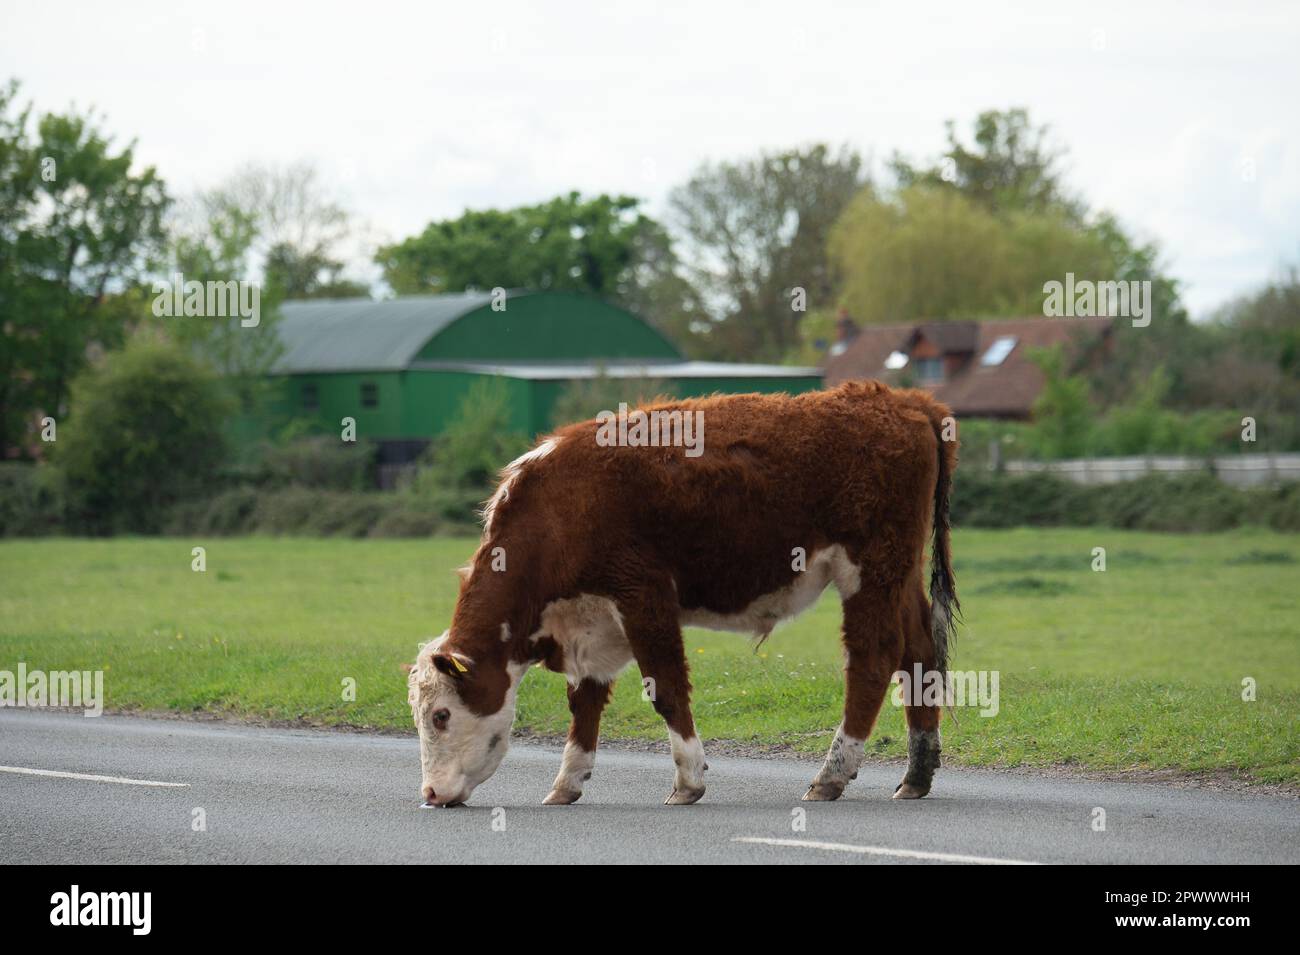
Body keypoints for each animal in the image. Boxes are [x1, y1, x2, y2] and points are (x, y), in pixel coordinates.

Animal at [403, 382, 956, 805]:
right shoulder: (588, 625)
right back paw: (917, 774)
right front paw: (567, 783)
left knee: (873, 659)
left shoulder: (643, 594)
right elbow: (584, 705)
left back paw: (831, 776)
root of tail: (903, 400)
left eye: (440, 715)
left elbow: (666, 689)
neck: (558, 508)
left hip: (870, 569)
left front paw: (688, 780)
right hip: (899, 574)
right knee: (919, 652)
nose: (430, 794)